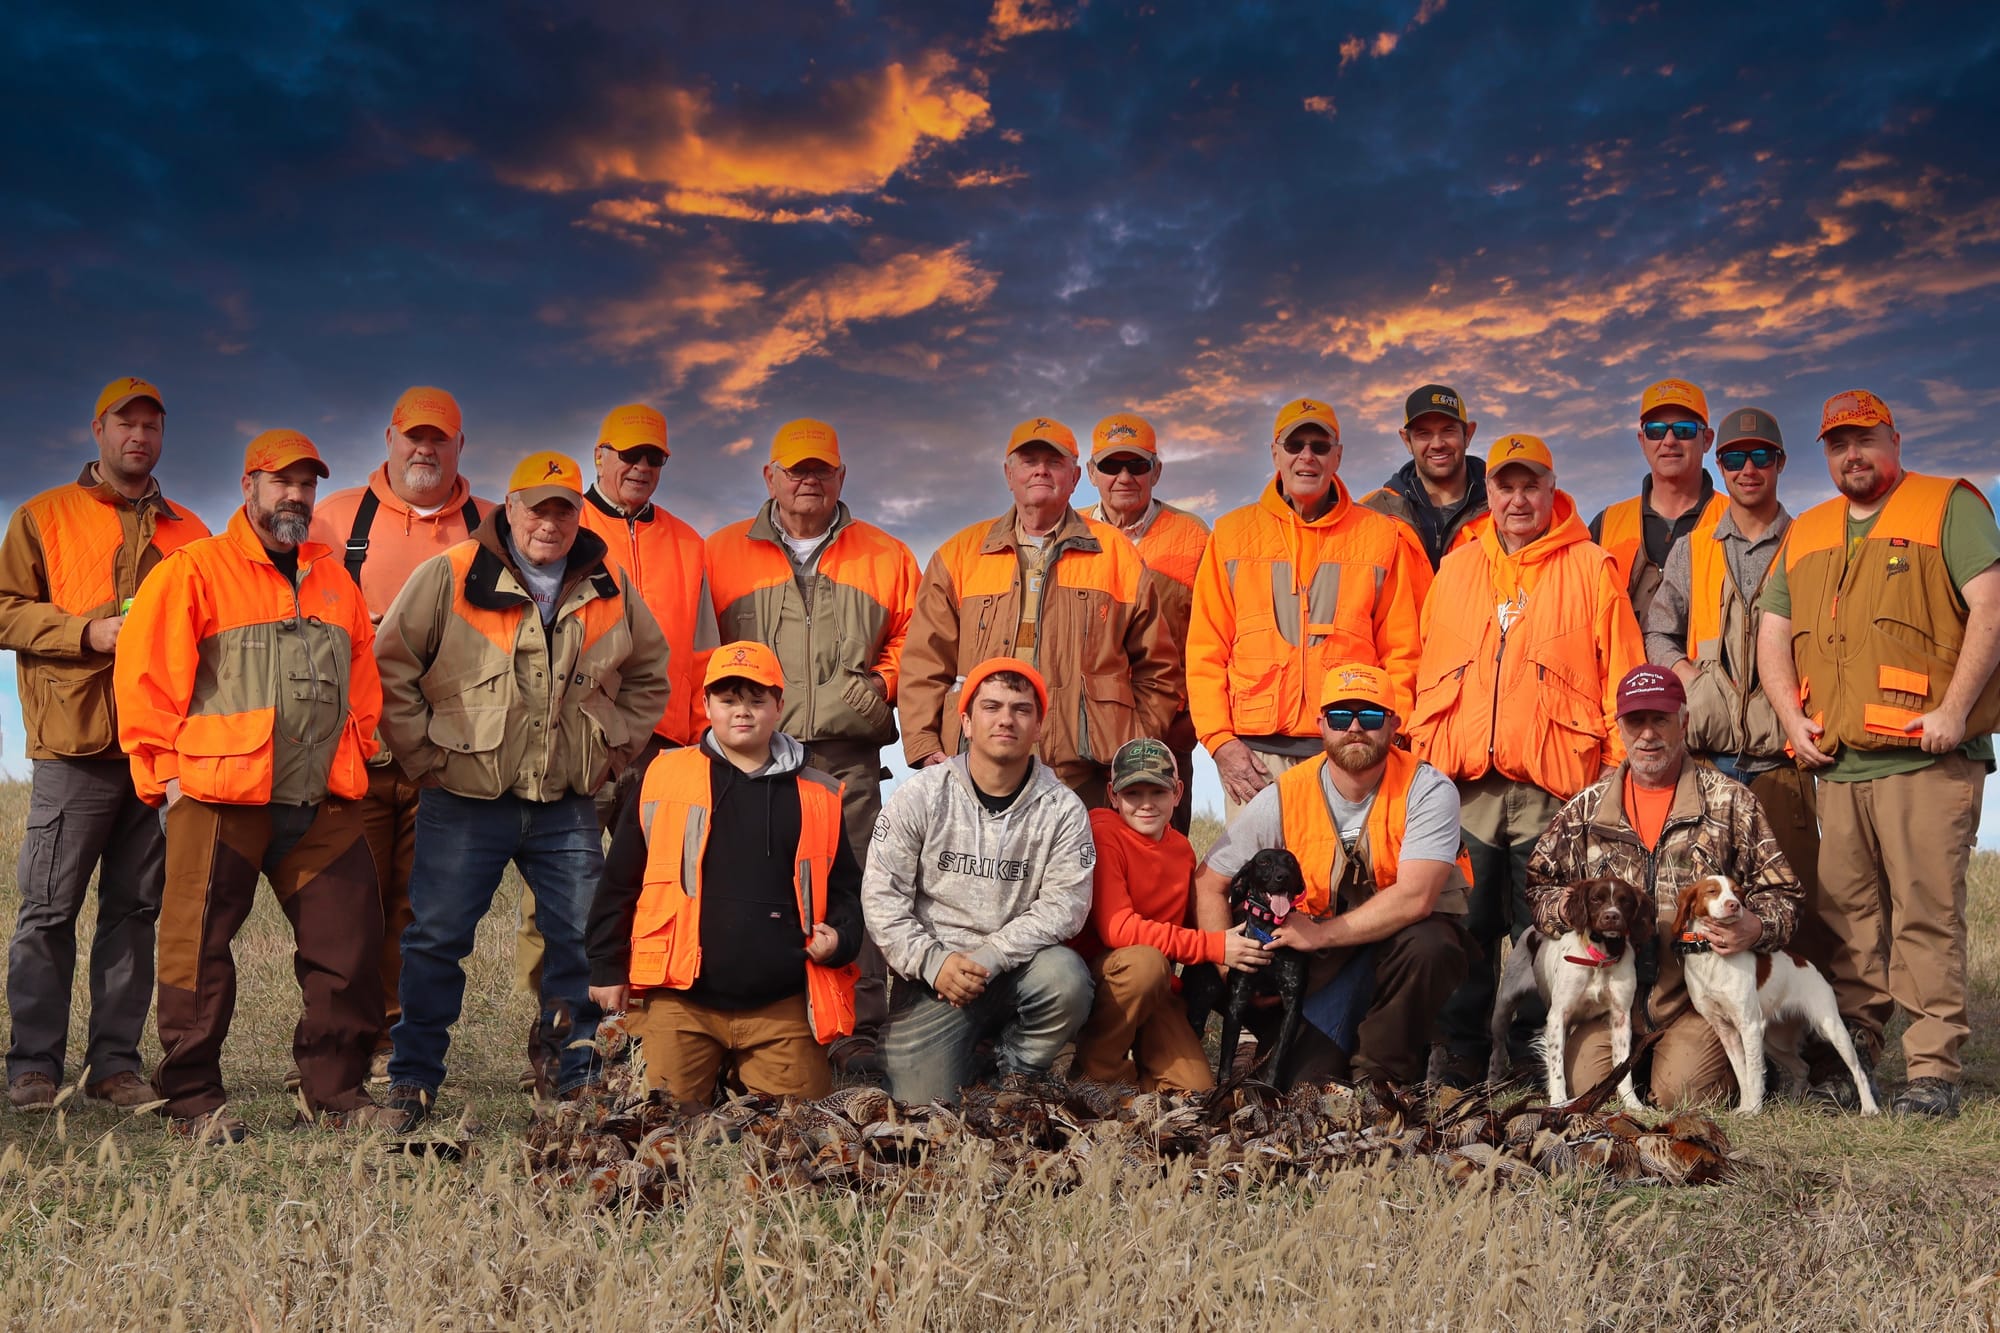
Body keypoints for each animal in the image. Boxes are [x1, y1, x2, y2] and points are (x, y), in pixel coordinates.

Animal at [1180, 848, 1313, 1087]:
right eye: (1264, 862)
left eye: (1290, 862)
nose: (1283, 876)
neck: (1268, 930)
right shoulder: (1238, 1001)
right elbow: (1227, 1057)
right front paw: (1223, 1088)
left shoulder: (1292, 1006)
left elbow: (1278, 1057)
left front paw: (1270, 1088)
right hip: (1198, 1006)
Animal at [1489, 875, 1652, 1111]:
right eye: (1596, 899)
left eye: (1625, 901)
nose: (1611, 916)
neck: (1599, 958)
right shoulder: (1558, 1015)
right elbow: (1556, 1064)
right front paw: (1558, 1101)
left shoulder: (1621, 1017)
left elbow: (1623, 1067)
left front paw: (1632, 1102)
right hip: (1503, 1006)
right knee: (1497, 1047)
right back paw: (1491, 1084)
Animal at [1671, 874, 1880, 1115]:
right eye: (1712, 891)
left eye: (1736, 892)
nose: (1733, 905)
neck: (1712, 956)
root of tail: (1806, 962)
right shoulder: (1725, 1030)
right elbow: (1742, 1073)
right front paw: (1744, 1107)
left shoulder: (1749, 1025)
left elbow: (1753, 1073)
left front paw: (1753, 1110)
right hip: (1774, 1041)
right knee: (1802, 1067)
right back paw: (1794, 1101)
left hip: (1831, 1028)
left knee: (1858, 1070)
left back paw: (1870, 1108)